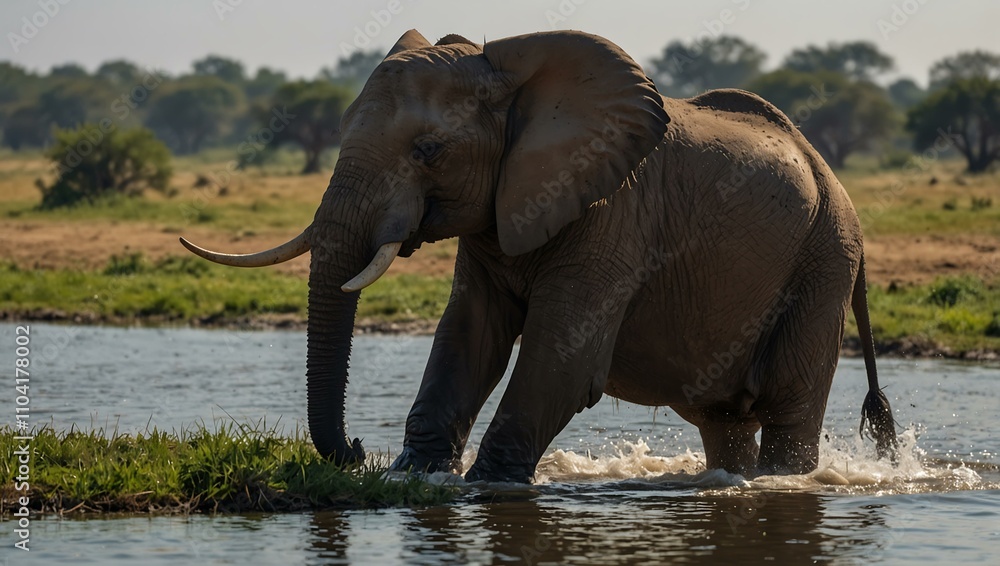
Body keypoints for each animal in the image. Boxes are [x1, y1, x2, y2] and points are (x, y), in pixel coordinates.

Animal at [181, 29, 897, 483]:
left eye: (429, 151)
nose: (356, 449)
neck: (508, 71)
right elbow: (468, 337)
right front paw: (414, 477)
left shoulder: (615, 213)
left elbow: (563, 356)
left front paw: (484, 486)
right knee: (723, 421)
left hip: (824, 261)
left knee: (788, 404)